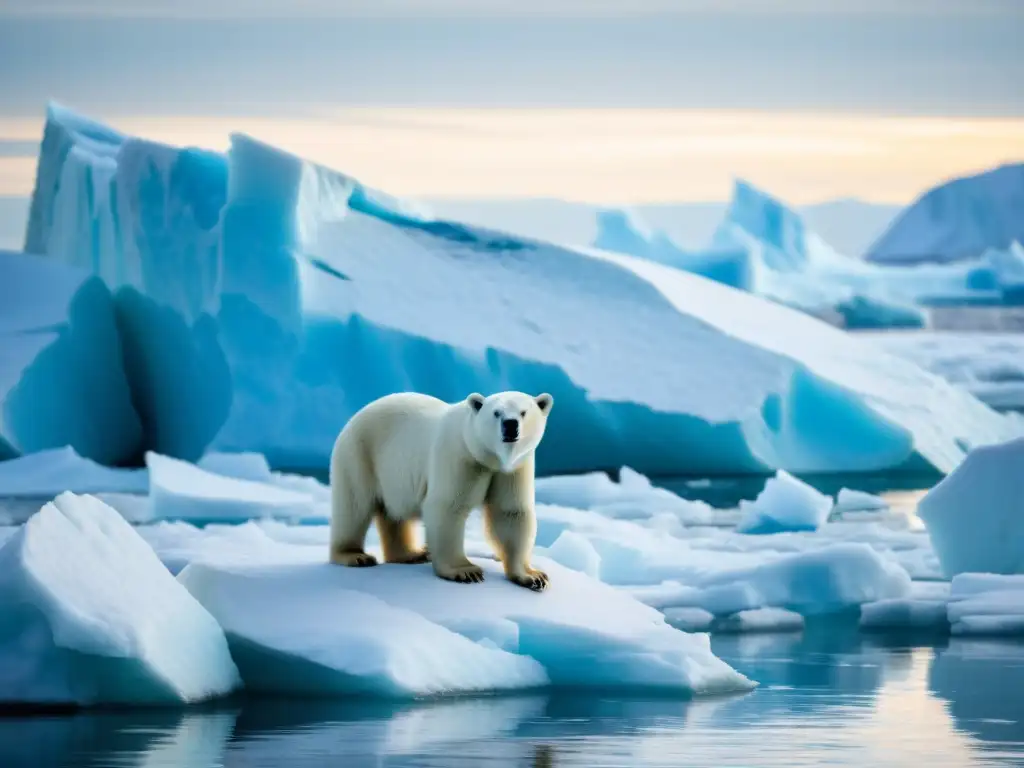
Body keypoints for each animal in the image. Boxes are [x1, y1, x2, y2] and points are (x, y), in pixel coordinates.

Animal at [325, 393, 552, 593]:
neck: (485, 456)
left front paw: (533, 576)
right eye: (496, 413)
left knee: (394, 514)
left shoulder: (514, 469)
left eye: (523, 412)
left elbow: (510, 512)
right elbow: (447, 507)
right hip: (359, 455)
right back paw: (355, 556)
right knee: (354, 507)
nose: (510, 425)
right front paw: (466, 571)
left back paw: (411, 554)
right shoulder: (458, 456)